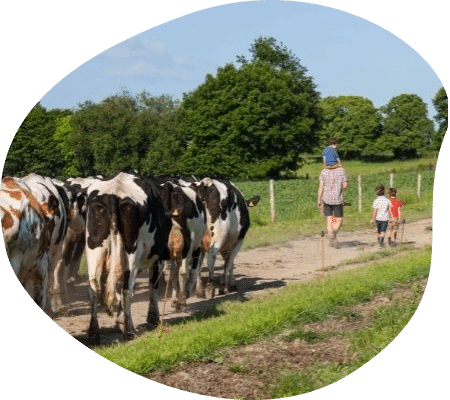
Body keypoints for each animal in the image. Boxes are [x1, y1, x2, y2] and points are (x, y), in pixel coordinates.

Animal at [84, 172, 171, 344]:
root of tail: (114, 193)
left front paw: (119, 321)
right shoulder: (156, 257)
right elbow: (153, 284)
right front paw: (153, 317)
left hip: (94, 249)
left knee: (94, 289)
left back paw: (94, 333)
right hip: (131, 253)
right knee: (126, 289)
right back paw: (130, 331)